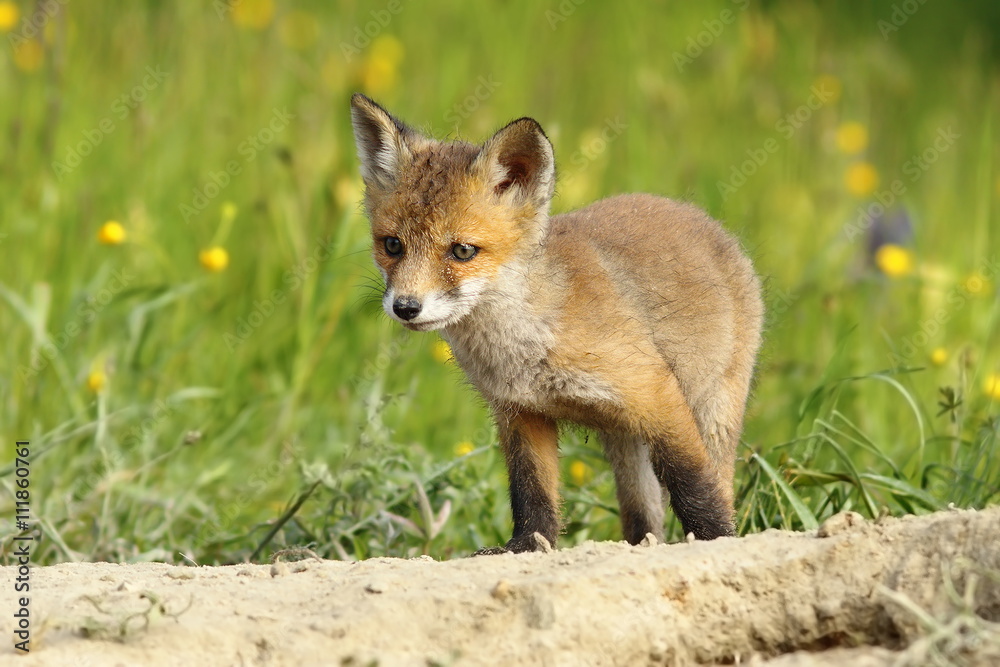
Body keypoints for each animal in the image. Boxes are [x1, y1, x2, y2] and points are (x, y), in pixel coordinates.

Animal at [348, 92, 760, 552]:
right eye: (392, 245)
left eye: (462, 251)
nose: (406, 307)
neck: (525, 351)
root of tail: (699, 216)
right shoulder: (521, 414)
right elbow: (532, 493)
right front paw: (526, 546)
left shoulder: (656, 394)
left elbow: (694, 484)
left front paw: (716, 539)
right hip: (624, 441)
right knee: (643, 517)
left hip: (710, 411)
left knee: (717, 482)